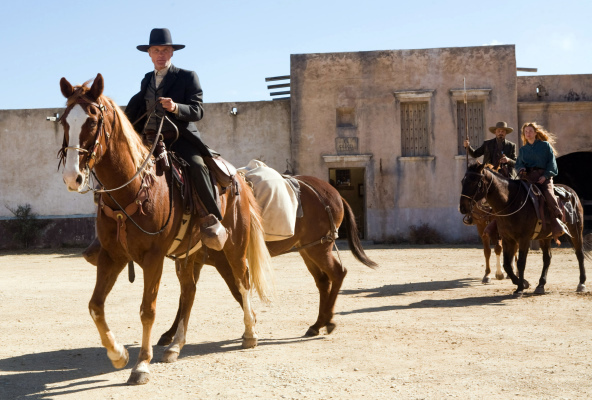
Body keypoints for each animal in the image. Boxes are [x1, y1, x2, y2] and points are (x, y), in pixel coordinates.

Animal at [57, 74, 276, 384]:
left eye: (92, 119)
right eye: (64, 120)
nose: (72, 177)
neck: (134, 188)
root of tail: (240, 179)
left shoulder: (154, 257)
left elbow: (147, 309)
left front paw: (141, 365)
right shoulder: (112, 256)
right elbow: (95, 306)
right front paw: (118, 354)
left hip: (234, 246)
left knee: (242, 281)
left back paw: (249, 333)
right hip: (189, 254)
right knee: (189, 291)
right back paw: (175, 345)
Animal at [156, 175, 380, 354]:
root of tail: (330, 191)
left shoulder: (224, 261)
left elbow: (236, 291)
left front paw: (251, 327)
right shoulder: (193, 261)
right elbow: (185, 297)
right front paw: (170, 333)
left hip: (319, 248)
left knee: (338, 273)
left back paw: (328, 320)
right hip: (308, 249)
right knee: (324, 282)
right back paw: (318, 324)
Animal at [460, 162, 588, 296]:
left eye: (474, 182)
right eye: (462, 181)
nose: (462, 207)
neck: (511, 202)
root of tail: (571, 192)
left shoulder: (523, 239)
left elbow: (521, 262)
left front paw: (520, 287)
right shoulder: (507, 238)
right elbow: (506, 263)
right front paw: (521, 283)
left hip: (576, 229)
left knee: (579, 253)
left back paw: (581, 283)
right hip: (545, 236)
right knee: (547, 258)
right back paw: (541, 285)